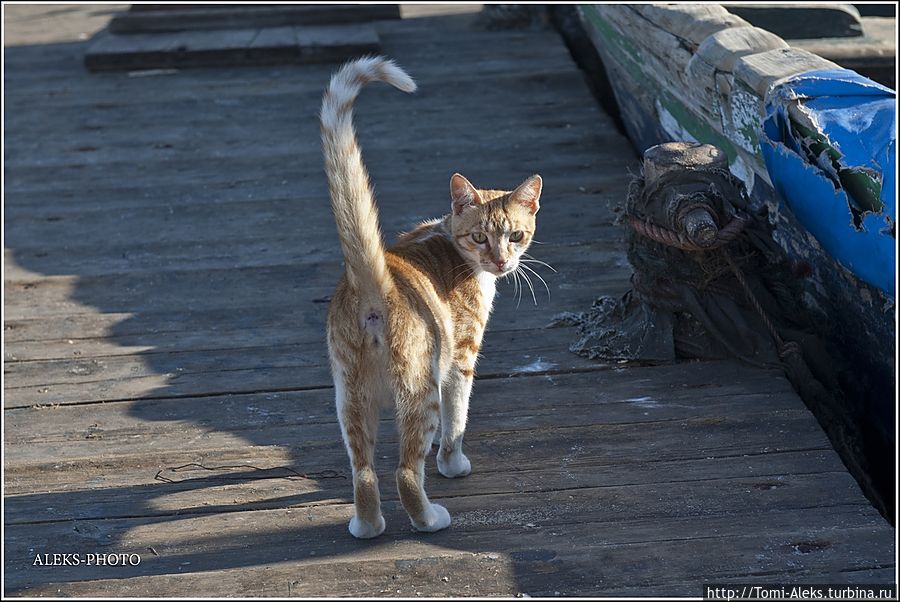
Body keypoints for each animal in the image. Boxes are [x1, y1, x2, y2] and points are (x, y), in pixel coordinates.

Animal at [322, 55, 540, 536]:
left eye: (516, 236)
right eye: (480, 237)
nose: (501, 262)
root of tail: (375, 283)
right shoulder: (460, 358)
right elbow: (457, 419)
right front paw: (453, 463)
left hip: (350, 395)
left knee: (364, 472)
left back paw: (367, 527)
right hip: (418, 389)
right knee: (405, 472)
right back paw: (429, 519)